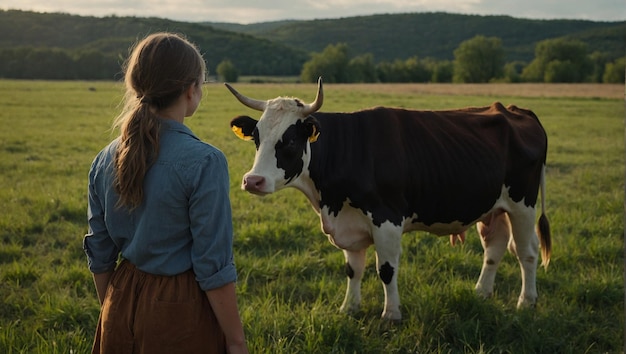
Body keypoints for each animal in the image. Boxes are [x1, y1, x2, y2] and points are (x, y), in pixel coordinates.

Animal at [227, 79, 548, 322]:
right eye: (256, 138)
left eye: (291, 140)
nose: (252, 181)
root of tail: (515, 110)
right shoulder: (349, 222)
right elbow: (353, 269)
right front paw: (349, 308)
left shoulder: (387, 219)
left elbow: (386, 270)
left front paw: (391, 315)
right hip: (493, 207)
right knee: (495, 248)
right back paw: (482, 292)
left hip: (523, 205)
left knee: (526, 252)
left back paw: (527, 301)